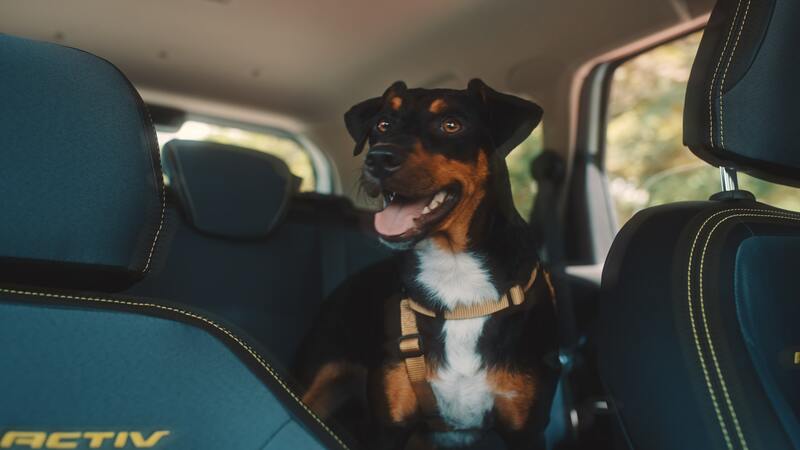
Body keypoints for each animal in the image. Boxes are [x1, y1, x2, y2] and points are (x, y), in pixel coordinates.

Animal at [296, 79, 560, 448]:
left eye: (451, 125)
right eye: (383, 125)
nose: (379, 159)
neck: (454, 270)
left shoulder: (525, 428)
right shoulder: (390, 425)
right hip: (317, 380)